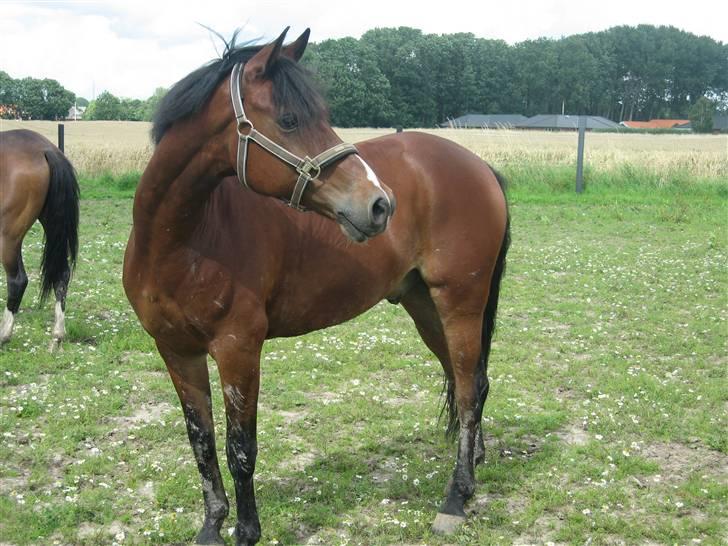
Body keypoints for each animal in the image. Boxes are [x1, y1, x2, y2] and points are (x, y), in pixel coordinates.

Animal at [0, 129, 79, 351]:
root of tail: (45, 149)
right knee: (62, 275)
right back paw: (57, 335)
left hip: (8, 237)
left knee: (17, 280)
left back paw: (4, 335)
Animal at [123, 28, 510, 545]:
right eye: (289, 119)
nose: (379, 204)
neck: (183, 240)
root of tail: (480, 166)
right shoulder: (176, 350)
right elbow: (201, 442)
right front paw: (211, 526)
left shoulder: (238, 348)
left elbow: (240, 448)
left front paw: (246, 531)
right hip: (424, 305)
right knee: (468, 379)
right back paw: (474, 464)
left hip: (460, 303)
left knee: (468, 391)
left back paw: (456, 497)